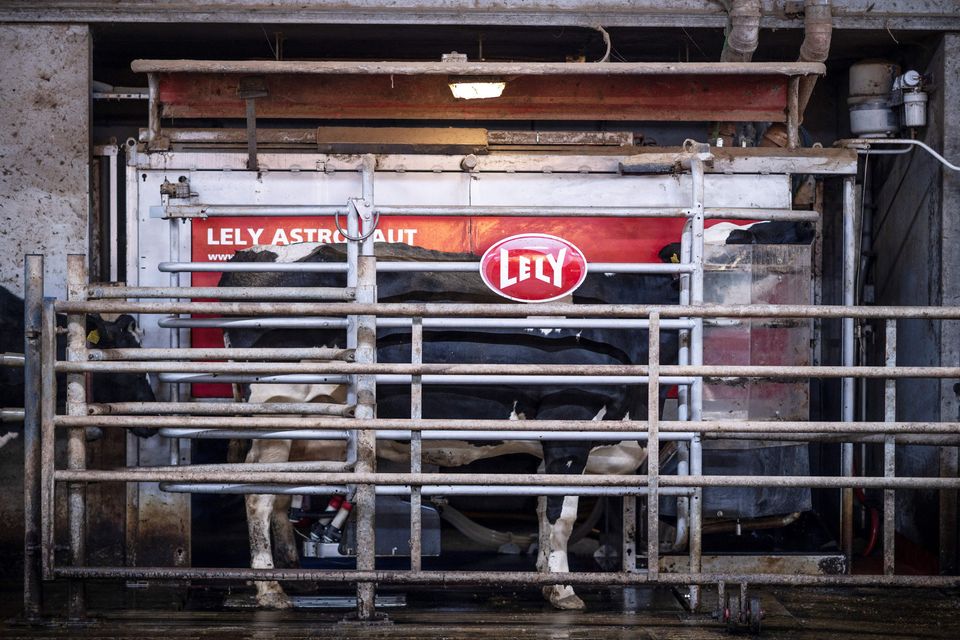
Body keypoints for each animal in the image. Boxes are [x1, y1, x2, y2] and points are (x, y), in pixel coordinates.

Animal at [221, 241, 680, 608]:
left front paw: (544, 573)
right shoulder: (567, 428)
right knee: (258, 497)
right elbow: (559, 516)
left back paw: (293, 576)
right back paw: (270, 589)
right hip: (278, 410)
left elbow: (540, 511)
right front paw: (562, 589)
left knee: (278, 494)